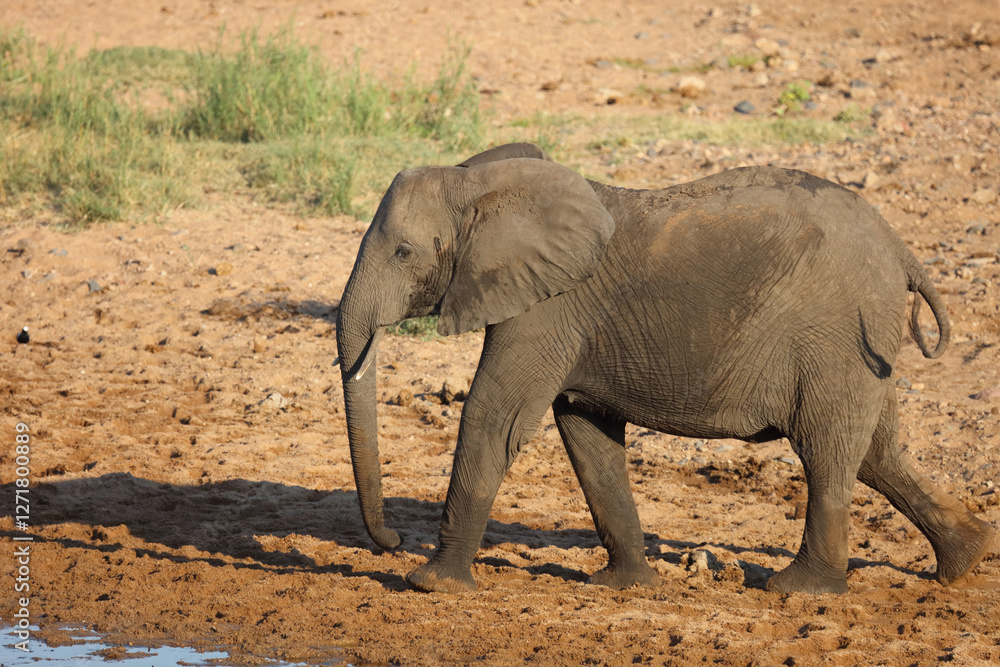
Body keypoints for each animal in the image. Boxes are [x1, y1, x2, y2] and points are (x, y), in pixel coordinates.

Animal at [335, 142, 995, 595]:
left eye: (404, 253)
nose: (393, 541)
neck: (480, 182)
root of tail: (901, 248)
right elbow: (588, 438)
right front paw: (624, 586)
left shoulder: (547, 309)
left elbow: (493, 419)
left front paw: (430, 584)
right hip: (863, 345)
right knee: (879, 452)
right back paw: (968, 560)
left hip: (837, 334)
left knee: (828, 451)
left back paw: (798, 591)